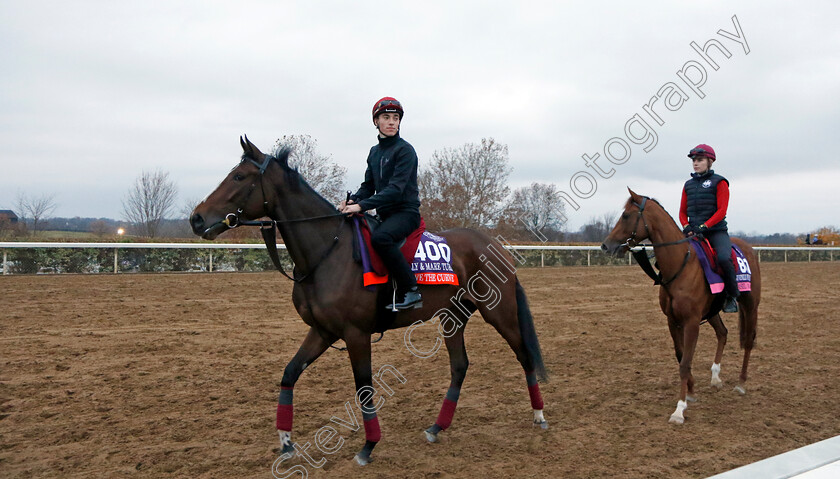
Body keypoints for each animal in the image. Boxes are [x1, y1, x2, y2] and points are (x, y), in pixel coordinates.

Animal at [187, 137, 548, 466]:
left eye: (238, 177)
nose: (196, 218)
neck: (328, 251)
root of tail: (496, 245)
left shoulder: (356, 333)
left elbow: (364, 388)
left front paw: (368, 446)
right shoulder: (323, 331)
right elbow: (289, 373)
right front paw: (286, 443)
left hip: (499, 311)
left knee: (524, 355)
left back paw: (539, 416)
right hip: (452, 316)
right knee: (459, 366)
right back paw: (437, 427)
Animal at [600, 189, 756, 426]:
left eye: (626, 215)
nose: (606, 245)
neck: (680, 266)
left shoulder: (691, 323)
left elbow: (685, 362)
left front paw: (679, 409)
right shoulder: (673, 321)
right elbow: (681, 356)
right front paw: (691, 391)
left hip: (751, 303)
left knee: (748, 340)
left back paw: (741, 383)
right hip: (712, 312)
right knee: (723, 333)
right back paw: (716, 377)